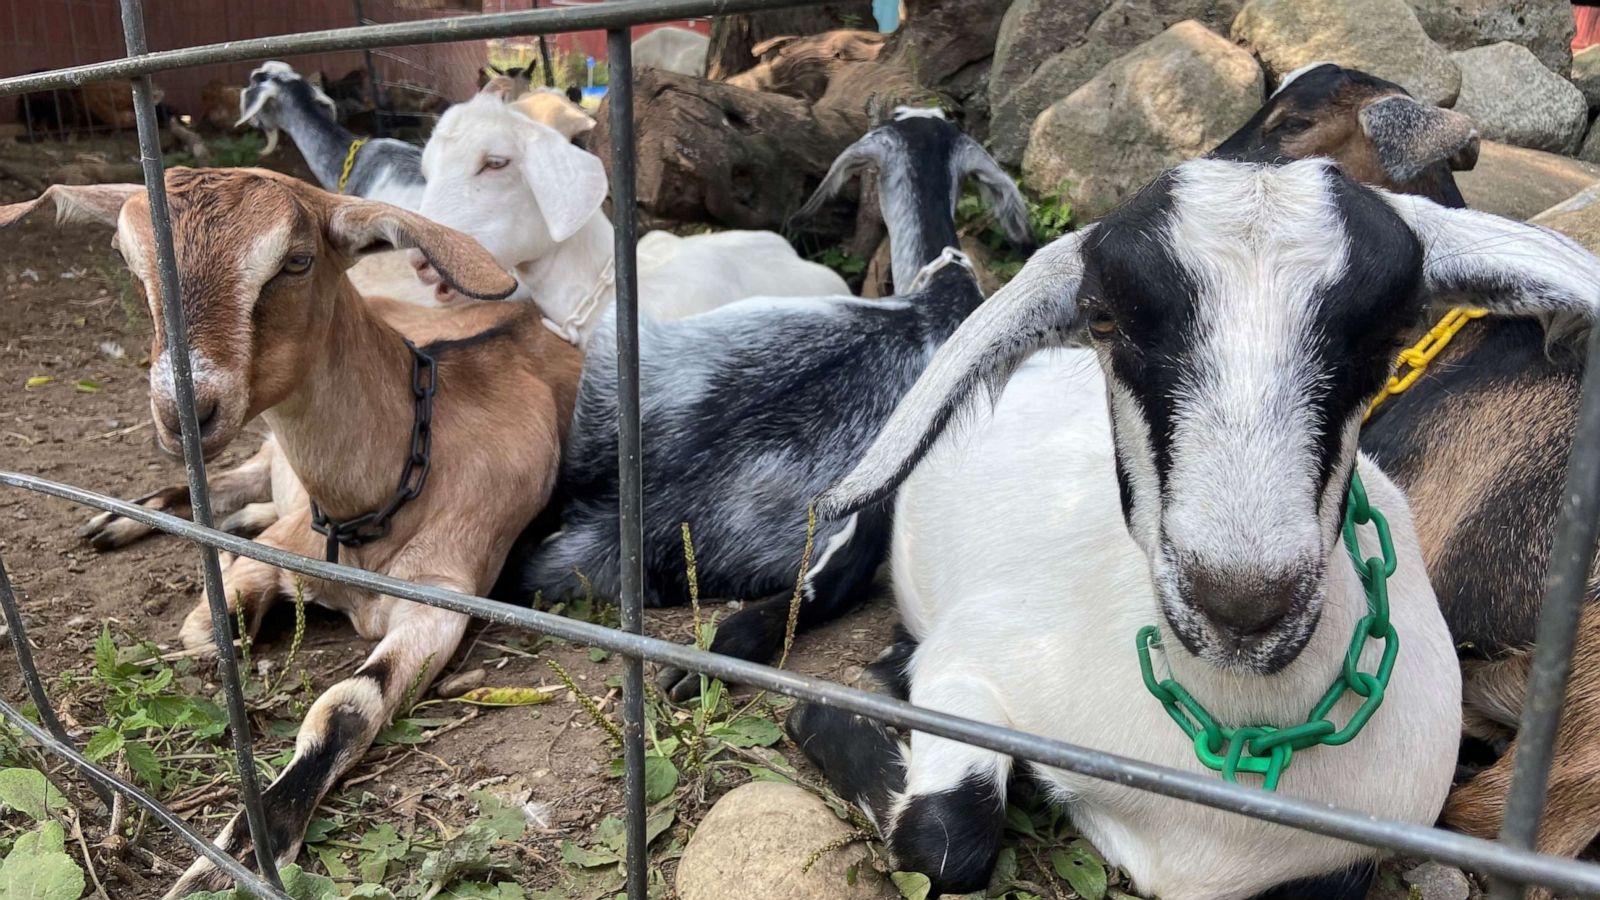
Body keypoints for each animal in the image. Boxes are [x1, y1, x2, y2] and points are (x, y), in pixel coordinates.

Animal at [0, 166, 585, 890]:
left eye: (296, 261)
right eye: (131, 263)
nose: (185, 410)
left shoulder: (444, 596)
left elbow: (346, 705)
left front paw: (238, 855)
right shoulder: (277, 553)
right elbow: (210, 627)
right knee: (236, 477)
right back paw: (117, 519)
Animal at [796, 152, 1600, 896]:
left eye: (1394, 330)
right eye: (1104, 318)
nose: (1241, 602)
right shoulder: (972, 661)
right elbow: (944, 841)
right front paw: (825, 710)